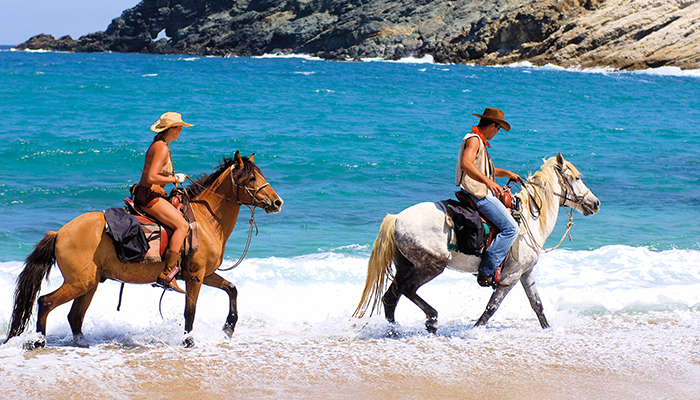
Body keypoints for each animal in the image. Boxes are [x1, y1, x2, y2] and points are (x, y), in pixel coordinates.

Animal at [5, 151, 283, 348]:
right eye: (251, 178)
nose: (277, 202)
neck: (206, 220)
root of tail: (60, 232)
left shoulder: (205, 273)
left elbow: (232, 289)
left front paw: (228, 328)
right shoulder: (195, 276)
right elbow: (190, 311)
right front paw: (189, 341)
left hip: (89, 283)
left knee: (75, 316)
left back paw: (82, 343)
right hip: (79, 282)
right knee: (45, 302)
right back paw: (38, 342)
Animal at [354, 153, 600, 333]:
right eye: (577, 178)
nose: (595, 203)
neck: (530, 218)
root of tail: (396, 219)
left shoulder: (525, 272)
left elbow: (537, 304)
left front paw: (548, 329)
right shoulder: (510, 276)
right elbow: (492, 307)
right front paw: (474, 330)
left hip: (406, 265)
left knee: (391, 296)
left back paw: (394, 331)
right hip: (432, 265)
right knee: (406, 289)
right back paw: (432, 319)